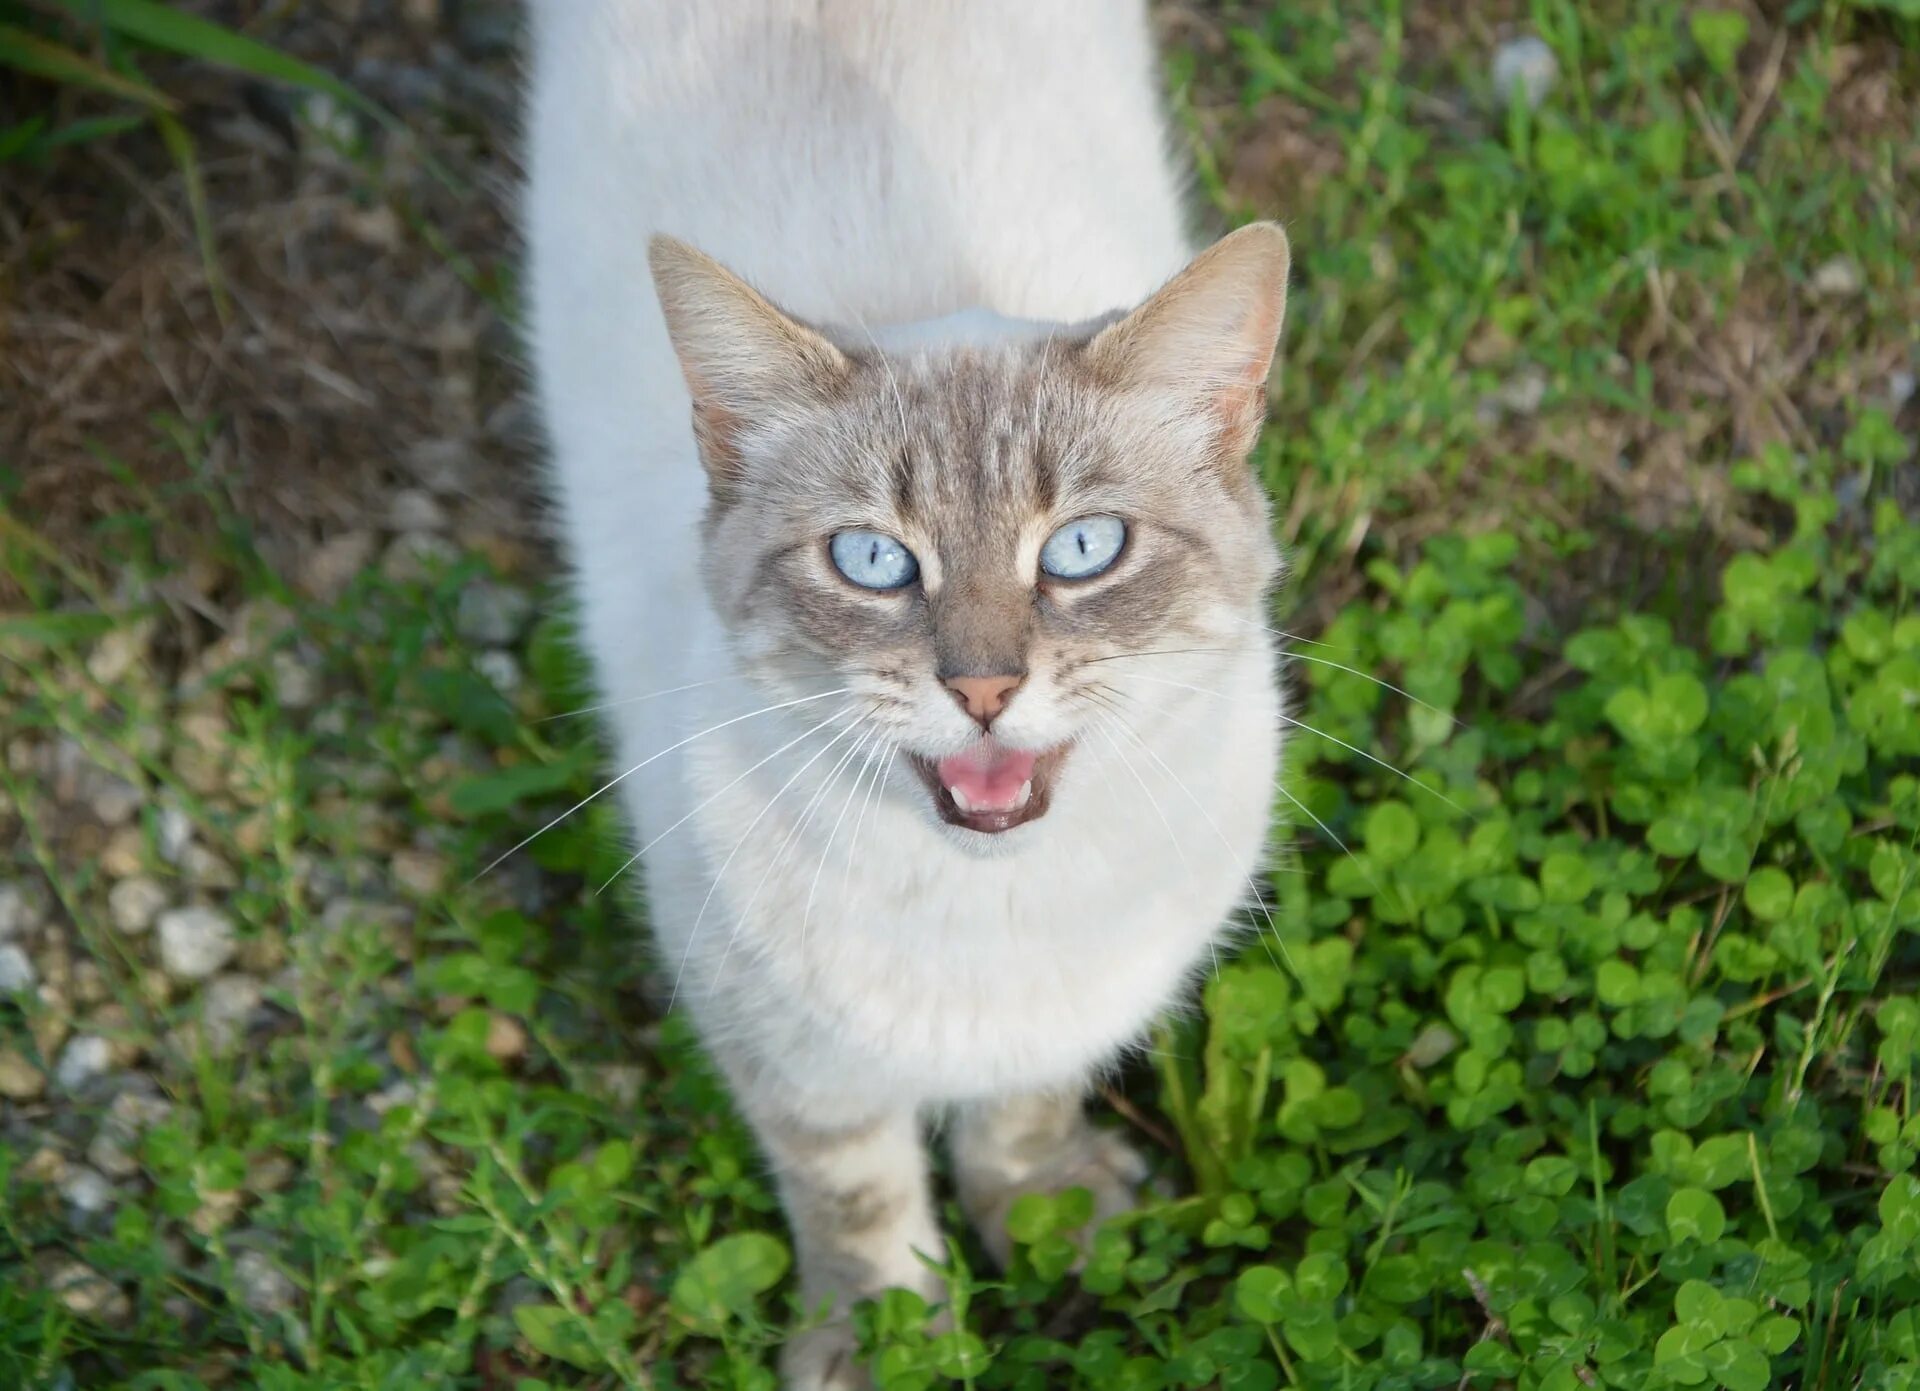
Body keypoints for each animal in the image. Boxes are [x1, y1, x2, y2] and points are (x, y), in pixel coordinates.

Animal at [522, 5, 1290, 1383]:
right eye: (873, 561)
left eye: (1082, 548)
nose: (982, 686)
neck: (985, 908)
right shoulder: (783, 1046)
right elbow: (856, 1191)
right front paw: (886, 1338)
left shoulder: (1069, 1013)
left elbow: (1023, 1111)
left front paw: (1045, 1213)